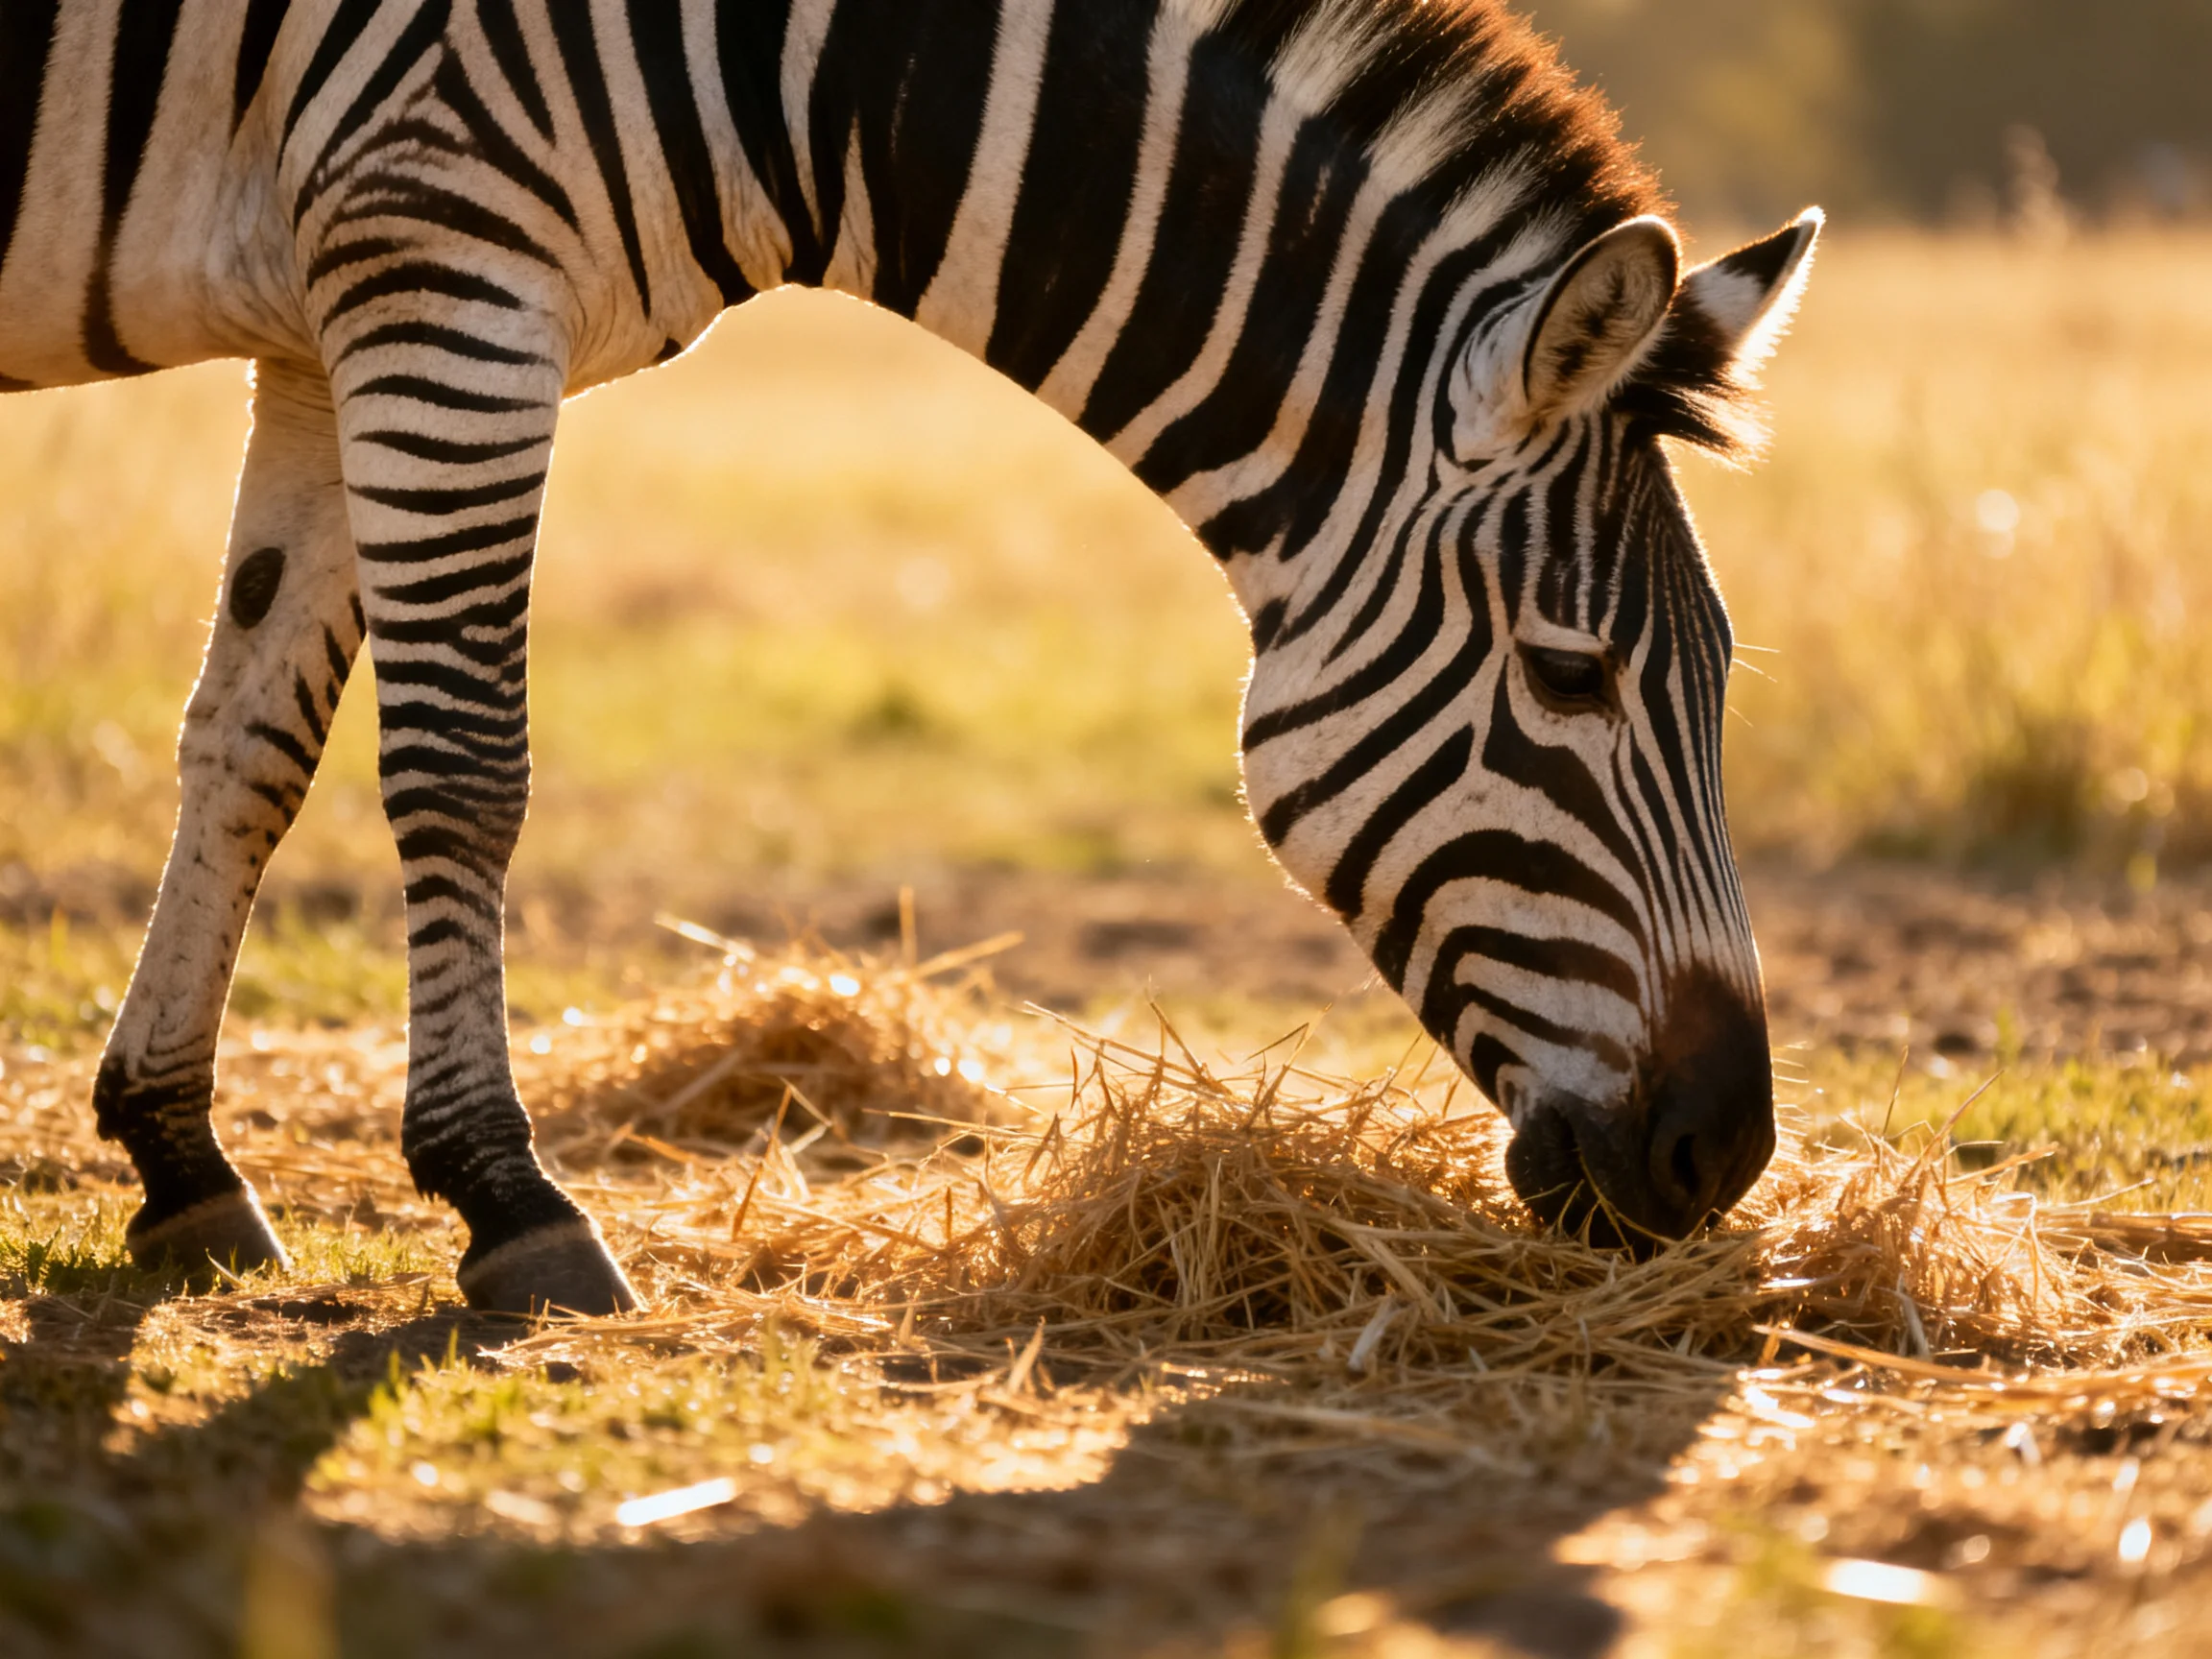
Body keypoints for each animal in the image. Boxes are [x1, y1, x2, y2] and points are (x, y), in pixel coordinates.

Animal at [1, 0, 1819, 1314]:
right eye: (1570, 676)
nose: (1720, 1155)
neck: (794, 69)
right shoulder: (443, 262)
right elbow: (464, 764)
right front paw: (503, 1194)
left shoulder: (335, 318)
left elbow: (249, 742)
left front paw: (175, 1155)